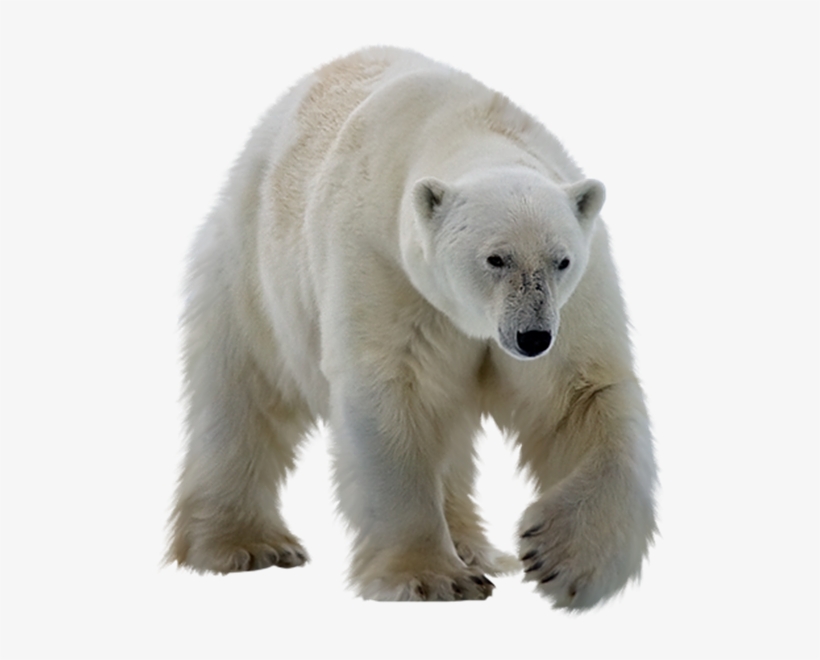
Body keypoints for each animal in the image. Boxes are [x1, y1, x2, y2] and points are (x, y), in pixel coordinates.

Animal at [169, 46, 657, 608]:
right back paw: (244, 544)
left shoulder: (574, 299)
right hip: (253, 276)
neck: (463, 125)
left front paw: (562, 557)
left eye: (561, 260)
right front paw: (433, 577)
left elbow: (581, 393)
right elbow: (394, 395)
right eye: (495, 258)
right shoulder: (383, 265)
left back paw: (473, 547)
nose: (532, 338)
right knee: (241, 398)